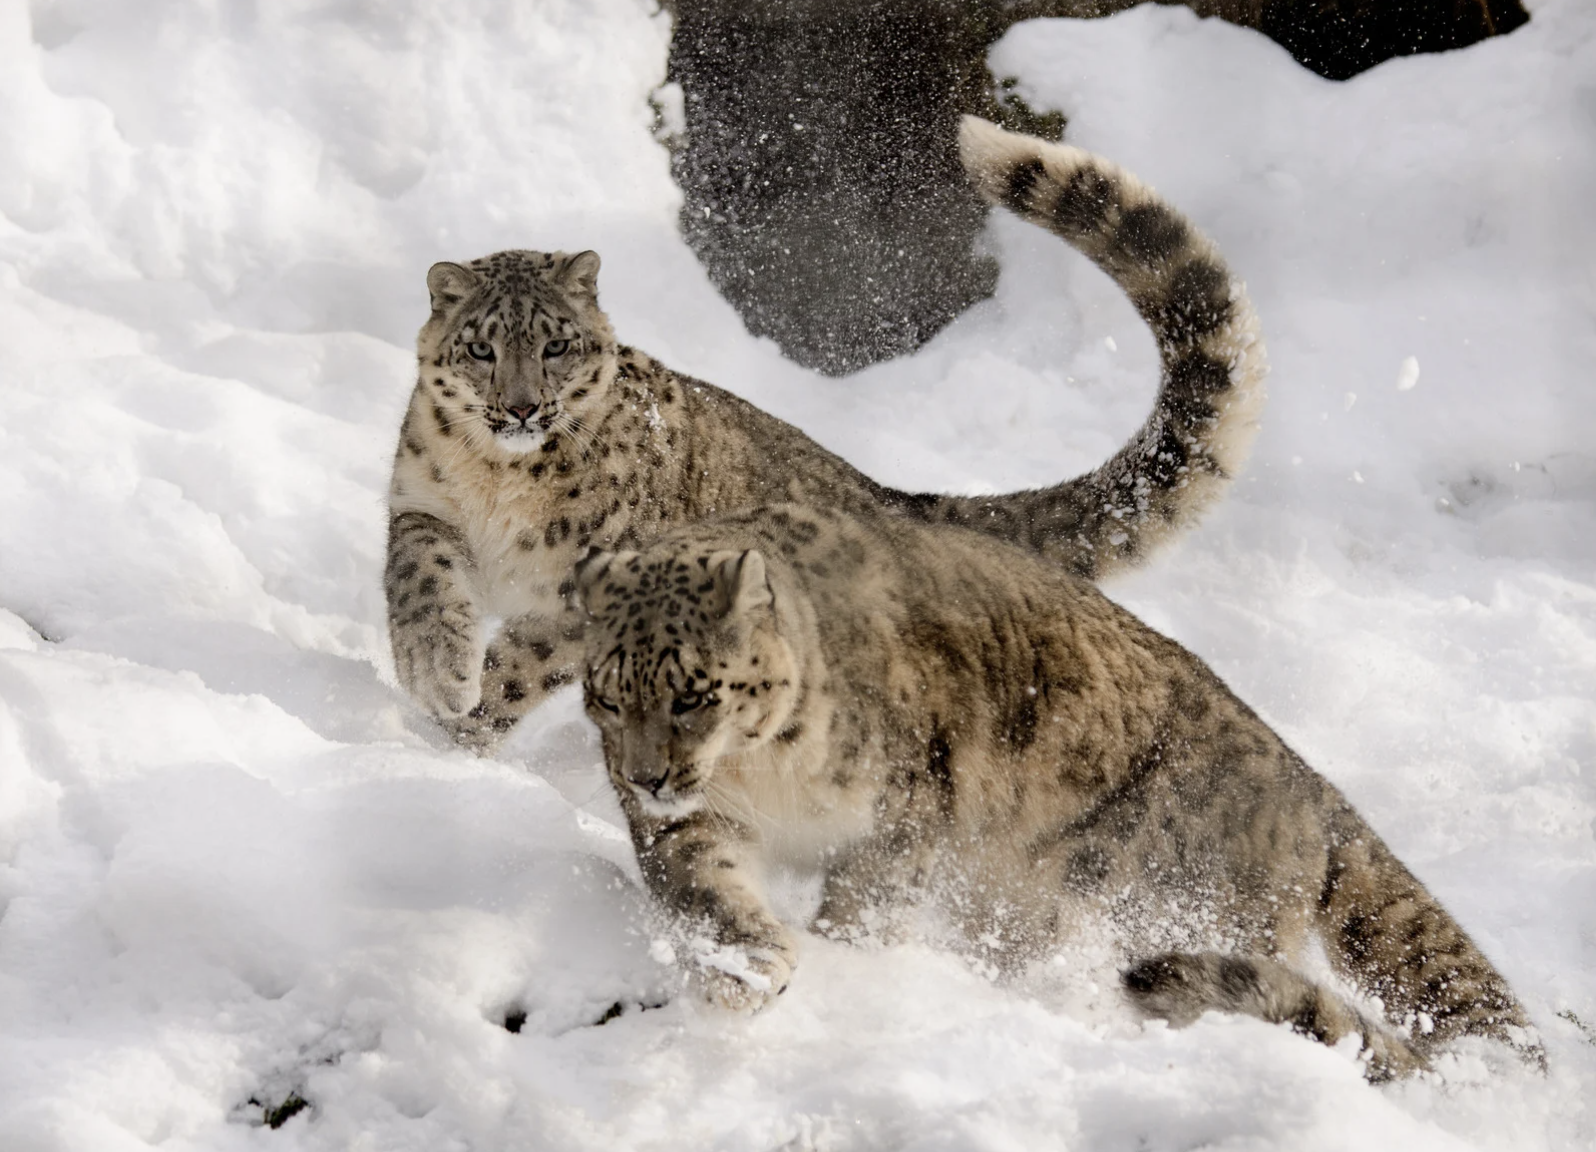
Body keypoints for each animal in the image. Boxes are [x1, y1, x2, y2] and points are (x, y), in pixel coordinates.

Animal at [385, 116, 1266, 751]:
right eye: (482, 348)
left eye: (556, 345)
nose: (522, 408)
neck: (502, 487)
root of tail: (889, 495)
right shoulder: (423, 503)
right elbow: (418, 580)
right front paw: (436, 672)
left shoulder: (591, 583)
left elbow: (523, 664)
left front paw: (459, 724)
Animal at [571, 501, 1542, 1081]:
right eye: (608, 694)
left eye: (693, 694)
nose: (650, 775)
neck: (763, 775)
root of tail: (1307, 783)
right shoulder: (696, 823)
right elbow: (706, 885)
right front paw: (748, 969)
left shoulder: (904, 814)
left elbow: (868, 904)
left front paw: (850, 961)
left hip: (1160, 903)